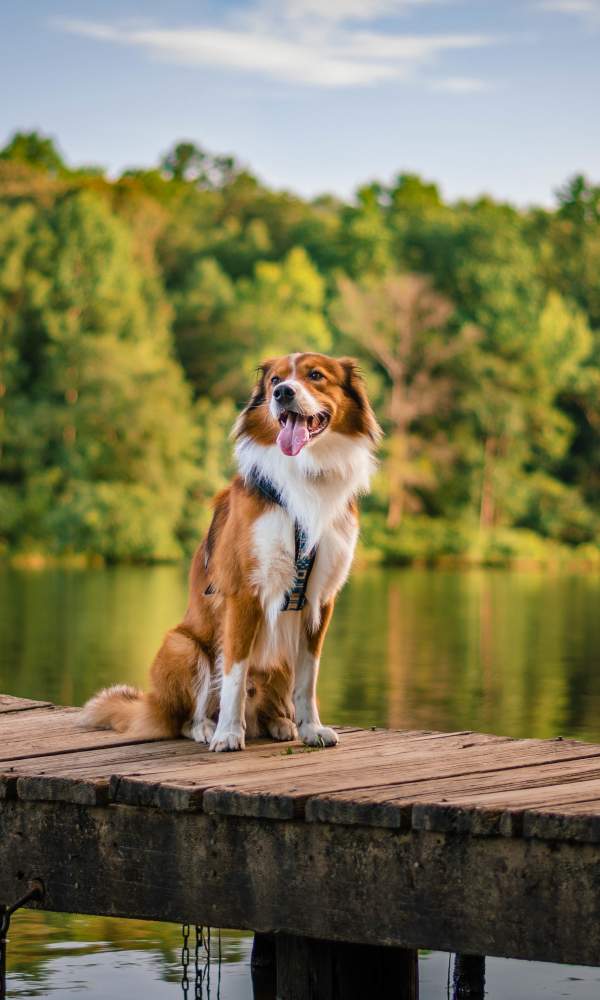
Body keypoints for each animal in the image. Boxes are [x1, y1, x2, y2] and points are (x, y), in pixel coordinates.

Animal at [81, 352, 380, 752]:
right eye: (274, 381)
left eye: (316, 376)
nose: (283, 394)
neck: (304, 477)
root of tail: (153, 705)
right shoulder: (243, 595)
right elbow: (234, 676)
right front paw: (227, 734)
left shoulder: (320, 600)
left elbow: (308, 678)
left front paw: (311, 728)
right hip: (182, 646)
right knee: (186, 717)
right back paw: (208, 728)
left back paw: (280, 723)